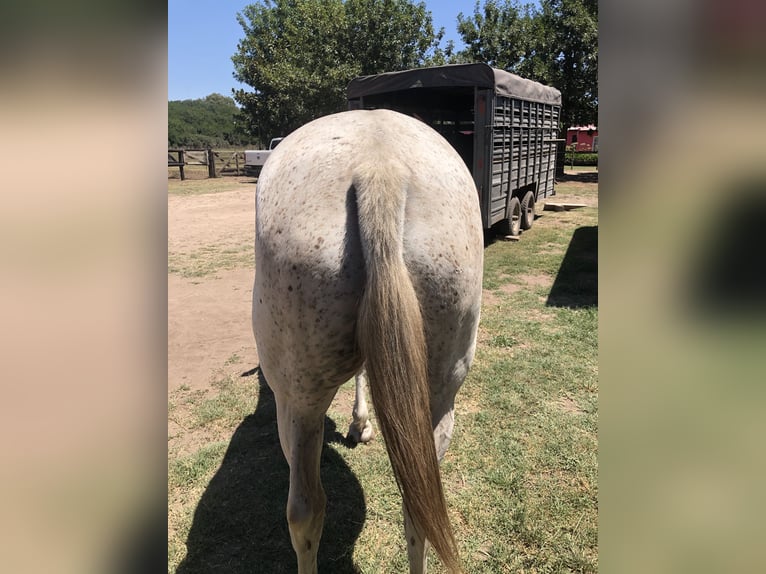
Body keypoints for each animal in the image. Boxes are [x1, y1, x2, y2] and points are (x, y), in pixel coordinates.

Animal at [258, 110, 486, 572]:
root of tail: (380, 170)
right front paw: (360, 424)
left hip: (299, 402)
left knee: (305, 512)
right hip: (439, 396)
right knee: (418, 506)